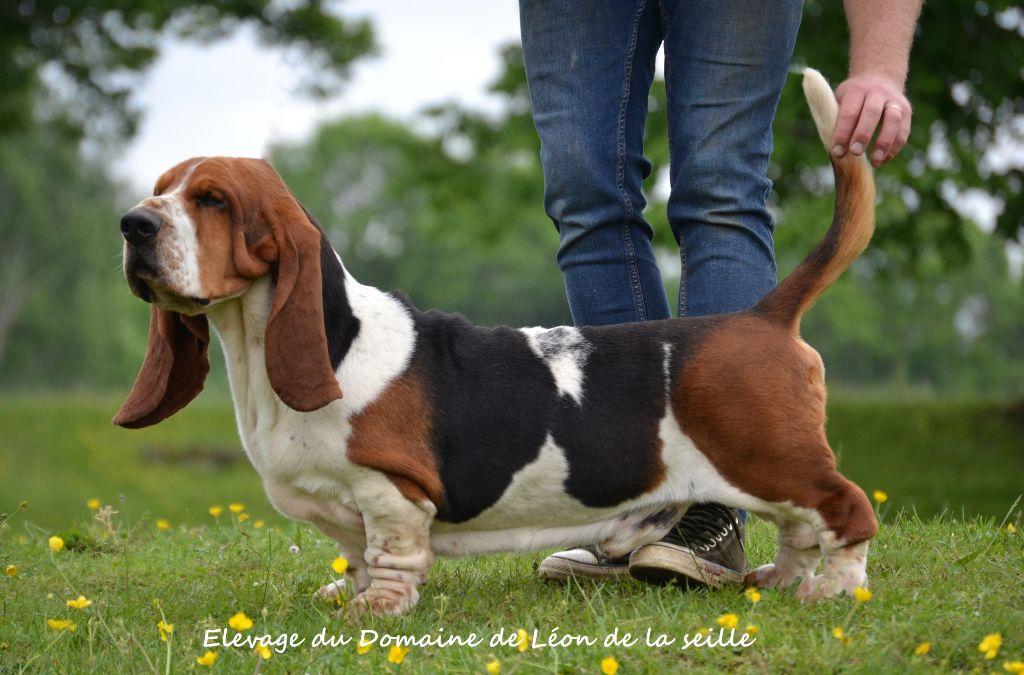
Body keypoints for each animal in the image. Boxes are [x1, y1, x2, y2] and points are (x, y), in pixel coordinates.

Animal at [114, 71, 880, 614]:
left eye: (212, 200)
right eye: (160, 189)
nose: (132, 225)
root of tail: (761, 316)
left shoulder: (392, 491)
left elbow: (390, 554)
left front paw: (375, 610)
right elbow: (355, 553)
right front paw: (346, 593)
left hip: (769, 455)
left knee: (846, 509)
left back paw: (832, 590)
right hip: (768, 470)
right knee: (800, 528)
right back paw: (780, 580)